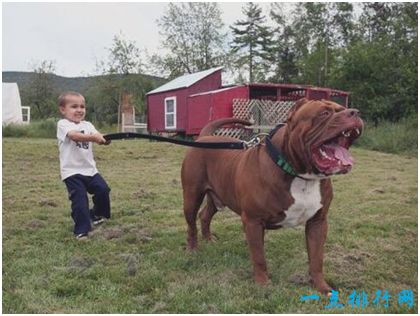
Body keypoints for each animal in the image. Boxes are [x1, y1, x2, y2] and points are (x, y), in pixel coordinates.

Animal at [182, 98, 362, 294]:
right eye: (324, 113)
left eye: (343, 109)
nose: (355, 112)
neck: (302, 175)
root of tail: (204, 137)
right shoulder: (253, 221)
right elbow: (259, 256)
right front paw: (263, 283)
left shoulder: (318, 222)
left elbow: (316, 258)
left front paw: (322, 287)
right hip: (191, 196)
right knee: (191, 223)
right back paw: (192, 249)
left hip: (218, 196)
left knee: (205, 215)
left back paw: (208, 239)